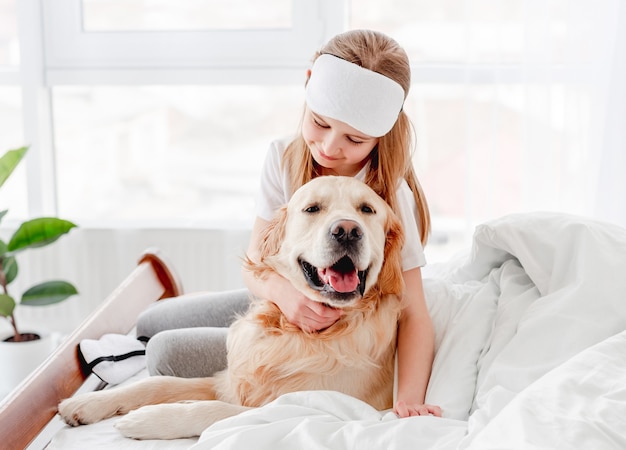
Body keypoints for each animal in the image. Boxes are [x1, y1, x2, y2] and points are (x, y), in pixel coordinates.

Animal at [58, 177, 404, 440]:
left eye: (367, 209)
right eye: (312, 209)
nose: (347, 230)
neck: (298, 331)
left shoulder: (309, 408)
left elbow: (215, 410)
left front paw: (146, 419)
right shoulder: (228, 381)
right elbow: (157, 382)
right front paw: (86, 404)